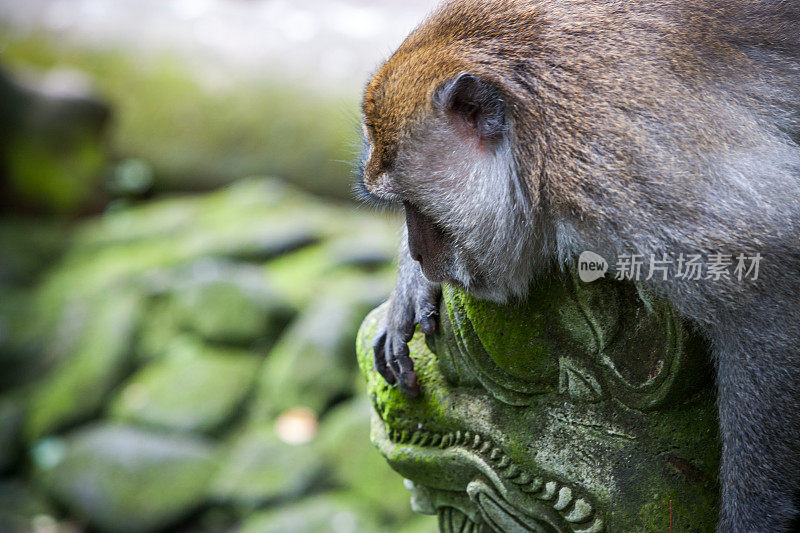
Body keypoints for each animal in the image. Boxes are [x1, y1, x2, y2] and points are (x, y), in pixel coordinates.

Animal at [358, 0, 800, 528]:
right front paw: (408, 291)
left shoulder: (618, 172)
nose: (420, 253)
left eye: (414, 204)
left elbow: (768, 297)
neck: (531, 144)